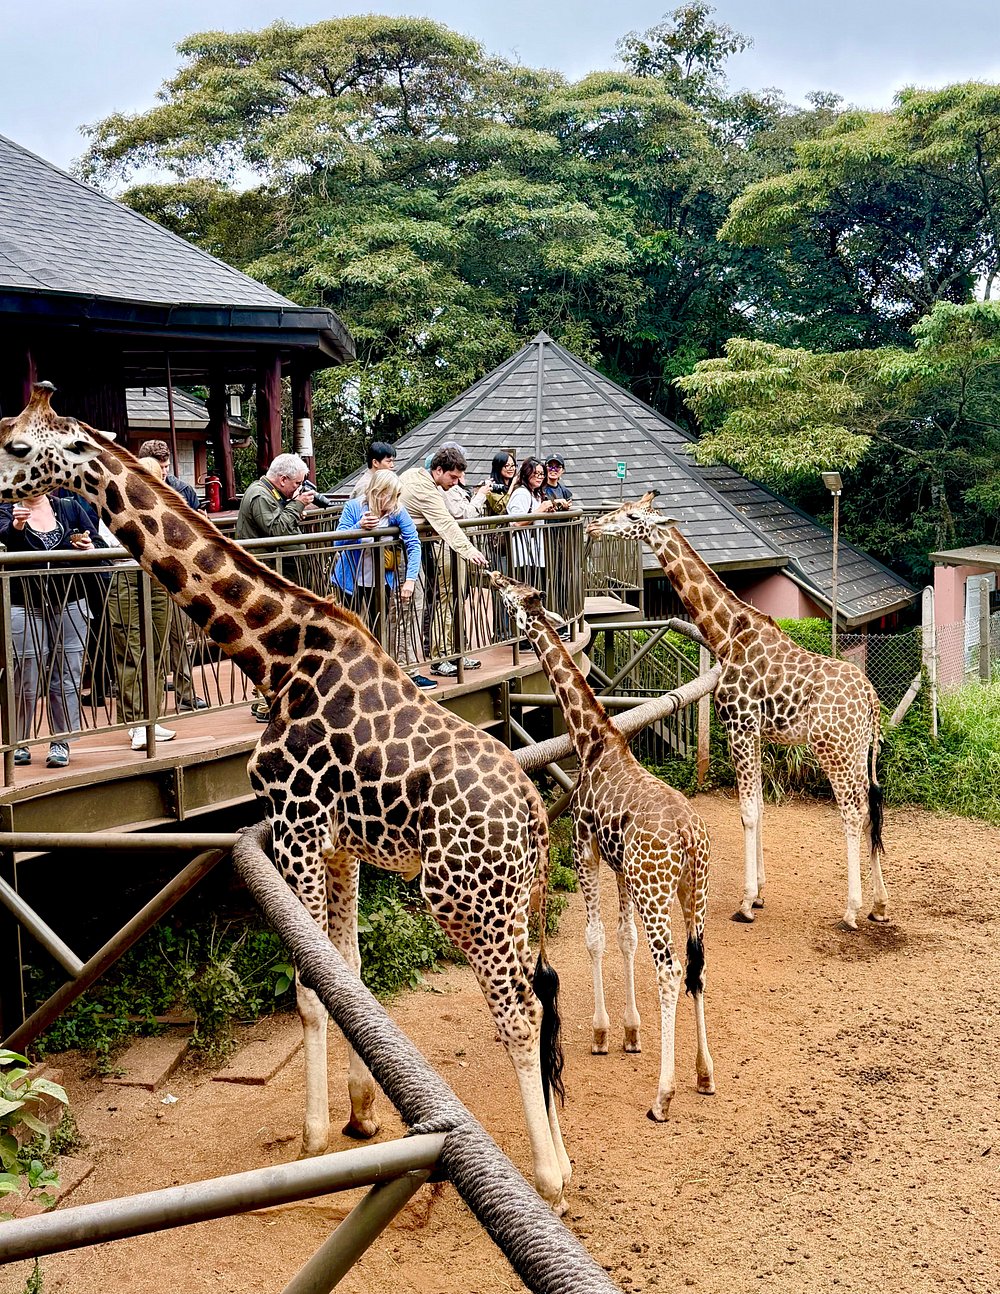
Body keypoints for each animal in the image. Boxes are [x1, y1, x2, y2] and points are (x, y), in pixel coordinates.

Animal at [0, 385, 571, 1209]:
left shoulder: (295, 822)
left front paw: (312, 1141)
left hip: (462, 897)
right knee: (542, 990)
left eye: (17, 446)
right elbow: (351, 975)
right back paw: (565, 1157)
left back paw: (550, 1180)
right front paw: (363, 1111)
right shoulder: (341, 843)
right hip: (512, 896)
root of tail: (531, 816)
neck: (277, 655)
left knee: (519, 1013)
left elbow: (310, 991)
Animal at [490, 571, 714, 1121]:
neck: (591, 740)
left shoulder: (584, 847)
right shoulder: (621, 868)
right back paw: (704, 1075)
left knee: (671, 970)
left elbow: (594, 937)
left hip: (658, 890)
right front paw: (631, 1032)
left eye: (511, 592)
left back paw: (662, 1096)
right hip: (693, 891)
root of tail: (688, 835)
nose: (491, 577)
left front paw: (601, 1034)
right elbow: (623, 937)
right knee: (697, 966)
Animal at [587, 493, 888, 931]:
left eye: (632, 516)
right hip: (861, 750)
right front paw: (759, 893)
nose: (593, 526)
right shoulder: (756, 731)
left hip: (833, 748)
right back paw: (880, 905)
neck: (727, 635)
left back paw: (851, 910)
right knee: (872, 808)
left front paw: (745, 903)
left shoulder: (739, 725)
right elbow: (759, 807)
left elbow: (746, 811)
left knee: (853, 810)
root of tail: (871, 700)